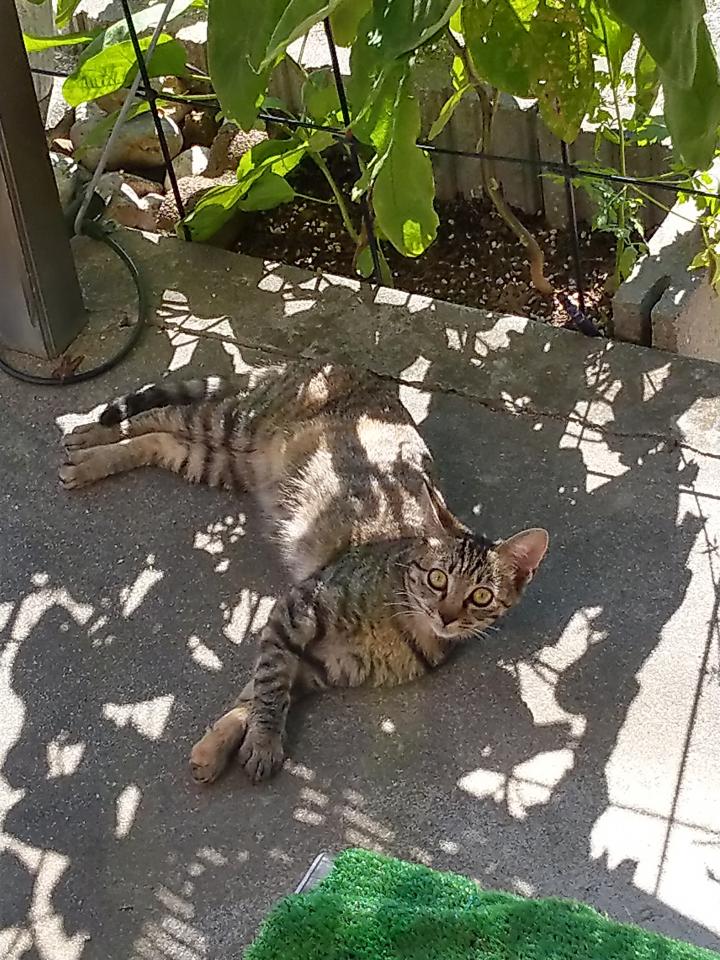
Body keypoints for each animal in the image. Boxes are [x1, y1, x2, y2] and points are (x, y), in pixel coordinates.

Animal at [59, 361, 549, 784]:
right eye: (437, 579)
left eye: (481, 596)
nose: (446, 616)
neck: (403, 622)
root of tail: (333, 362)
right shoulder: (295, 610)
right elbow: (270, 685)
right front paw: (263, 741)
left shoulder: (316, 665)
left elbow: (253, 693)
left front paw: (219, 744)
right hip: (231, 424)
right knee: (158, 414)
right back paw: (86, 440)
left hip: (217, 460)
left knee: (161, 439)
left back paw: (93, 457)